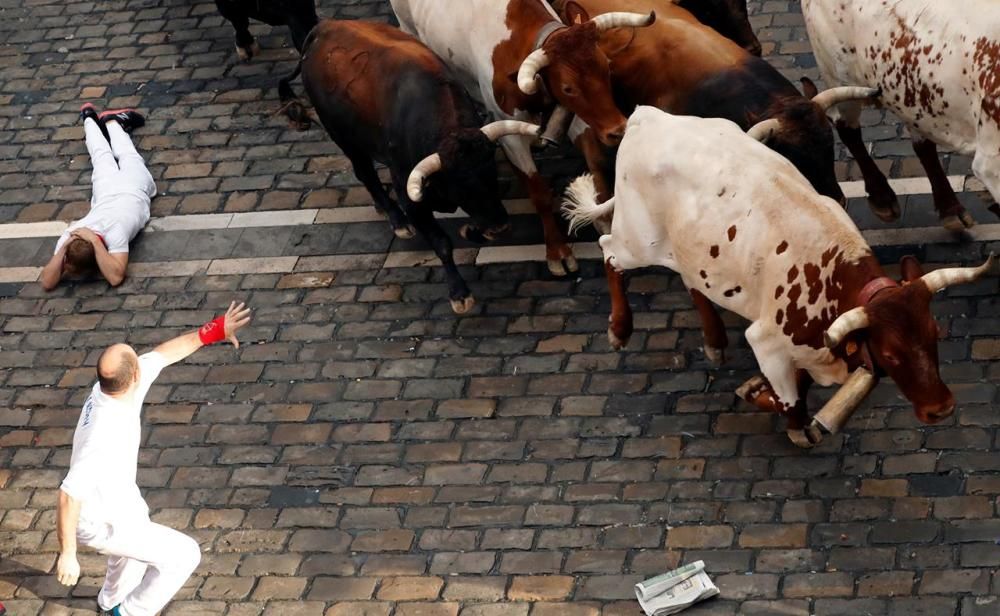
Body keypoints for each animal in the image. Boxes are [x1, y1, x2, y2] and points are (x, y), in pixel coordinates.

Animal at [286, 19, 540, 312]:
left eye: (491, 173)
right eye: (461, 187)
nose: (500, 227)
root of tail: (323, 28)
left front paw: (470, 230)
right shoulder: (409, 192)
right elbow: (441, 243)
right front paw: (459, 293)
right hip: (343, 136)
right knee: (365, 173)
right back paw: (396, 219)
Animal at [388, 0, 656, 276]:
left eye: (607, 68)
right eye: (569, 87)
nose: (618, 129)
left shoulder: (575, 116)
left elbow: (596, 166)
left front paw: (601, 217)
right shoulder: (511, 134)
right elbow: (539, 193)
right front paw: (557, 251)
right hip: (408, 27)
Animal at [564, 107, 992, 448]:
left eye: (935, 335)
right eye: (891, 354)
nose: (941, 409)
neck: (830, 274)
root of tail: (645, 117)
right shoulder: (766, 340)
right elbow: (795, 409)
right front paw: (765, 398)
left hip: (688, 250)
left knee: (690, 280)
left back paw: (713, 339)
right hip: (639, 241)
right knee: (607, 249)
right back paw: (620, 328)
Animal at [800, 0, 1000, 229]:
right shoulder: (991, 163)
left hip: (912, 96)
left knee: (923, 146)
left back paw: (950, 209)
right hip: (836, 73)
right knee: (849, 132)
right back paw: (883, 199)